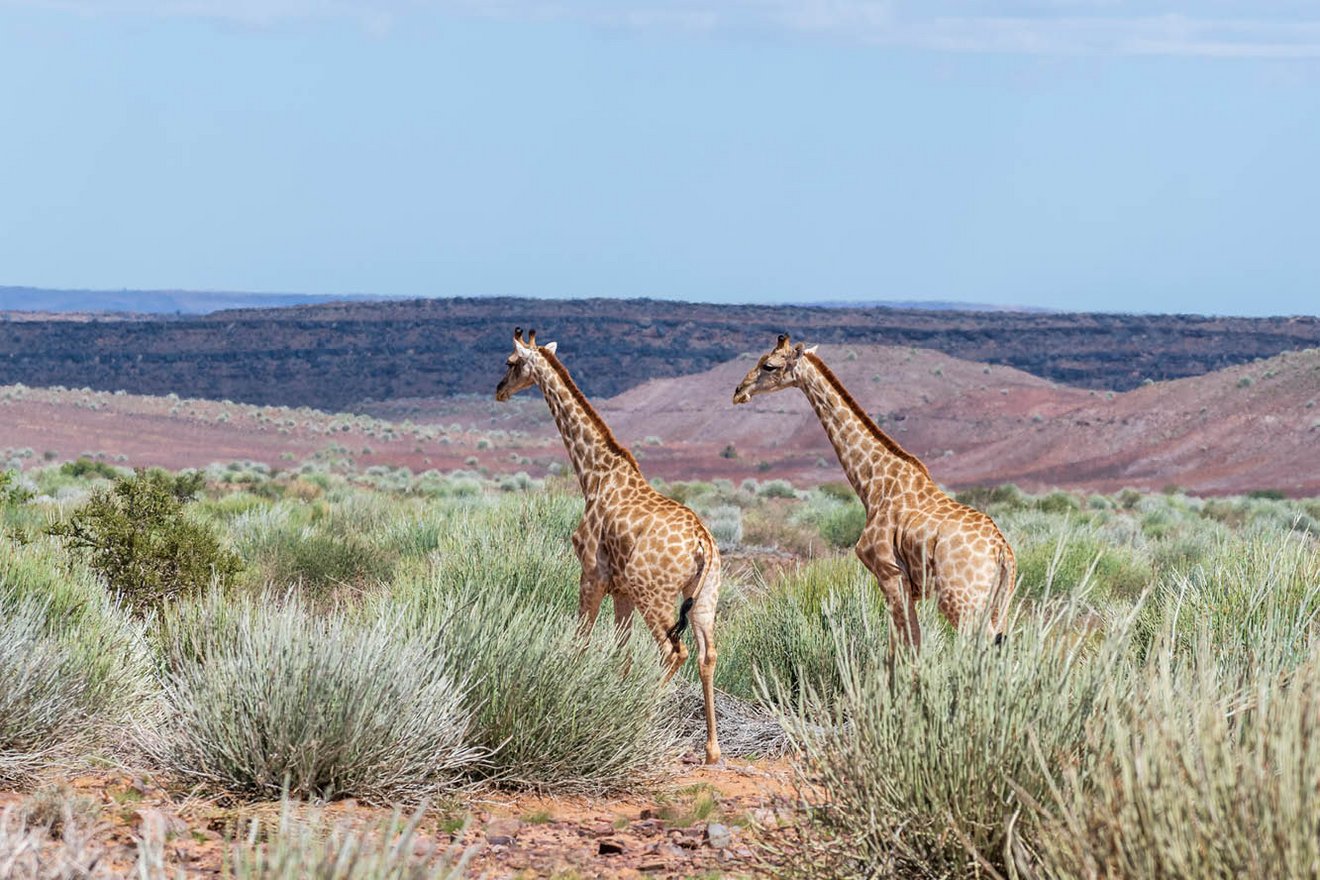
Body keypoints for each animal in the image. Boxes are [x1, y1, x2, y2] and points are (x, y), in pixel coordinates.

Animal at [496, 328, 723, 765]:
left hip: (654, 592)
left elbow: (580, 642)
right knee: (707, 656)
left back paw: (641, 723)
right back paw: (711, 750)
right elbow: (622, 655)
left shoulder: (591, 572)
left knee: (675, 652)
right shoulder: (621, 590)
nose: (498, 390)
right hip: (704, 599)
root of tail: (702, 545)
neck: (593, 473)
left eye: (510, 363)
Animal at [728, 335, 1013, 654]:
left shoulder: (889, 573)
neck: (872, 484)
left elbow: (905, 645)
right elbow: (909, 642)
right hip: (995, 602)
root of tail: (1003, 551)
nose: (739, 392)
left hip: (961, 597)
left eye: (769, 365)